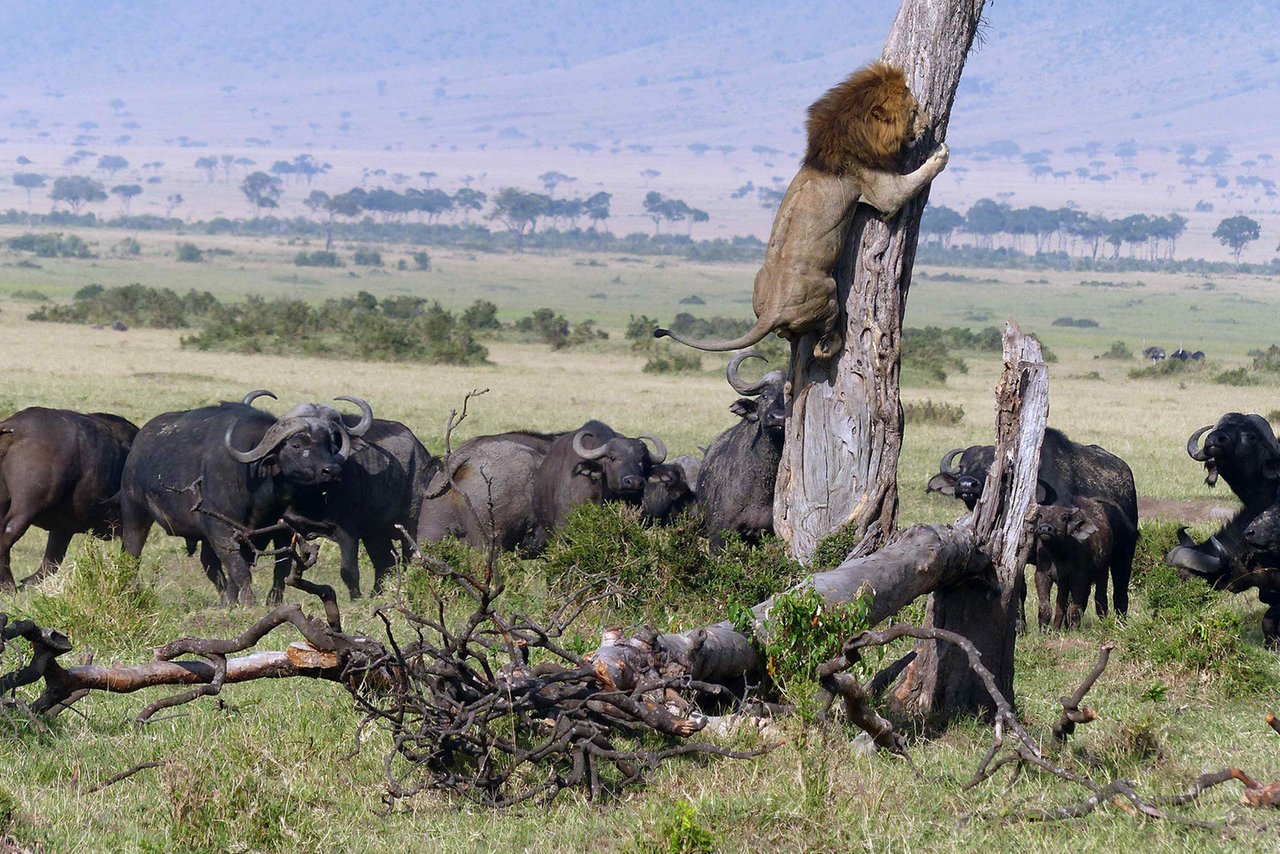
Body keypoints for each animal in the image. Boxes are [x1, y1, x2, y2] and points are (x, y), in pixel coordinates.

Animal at [0, 407, 140, 588]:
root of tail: (15, 429)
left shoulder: (63, 528)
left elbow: (51, 561)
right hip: (26, 509)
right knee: (7, 534)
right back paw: (8, 585)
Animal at [122, 396, 371, 604]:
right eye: (297, 444)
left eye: (330, 444)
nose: (332, 470)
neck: (254, 482)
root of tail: (139, 442)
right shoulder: (221, 528)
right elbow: (239, 568)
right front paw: (249, 603)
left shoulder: (270, 532)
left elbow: (259, 567)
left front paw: (242, 602)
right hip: (134, 511)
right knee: (132, 553)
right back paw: (130, 590)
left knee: (210, 563)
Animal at [660, 63, 952, 361]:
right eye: (914, 111)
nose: (928, 125)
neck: (850, 133)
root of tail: (772, 310)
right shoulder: (881, 190)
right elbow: (913, 181)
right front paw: (940, 153)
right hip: (827, 290)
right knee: (823, 342)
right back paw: (835, 343)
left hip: (761, 284)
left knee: (787, 334)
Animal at [931, 427, 1141, 614]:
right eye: (962, 468)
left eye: (991, 469)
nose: (966, 484)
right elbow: (1018, 589)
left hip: (1124, 554)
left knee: (1119, 592)